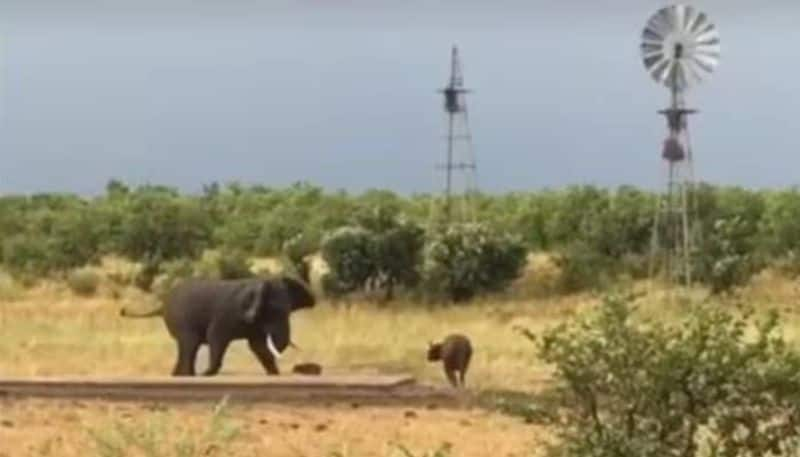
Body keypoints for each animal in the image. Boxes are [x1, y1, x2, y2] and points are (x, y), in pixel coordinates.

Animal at [120, 274, 314, 374]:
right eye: (273, 310)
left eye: (288, 310)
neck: (257, 282)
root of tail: (162, 305)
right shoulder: (227, 314)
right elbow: (216, 337)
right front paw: (207, 374)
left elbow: (257, 346)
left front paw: (274, 373)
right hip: (181, 319)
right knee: (190, 344)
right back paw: (191, 376)